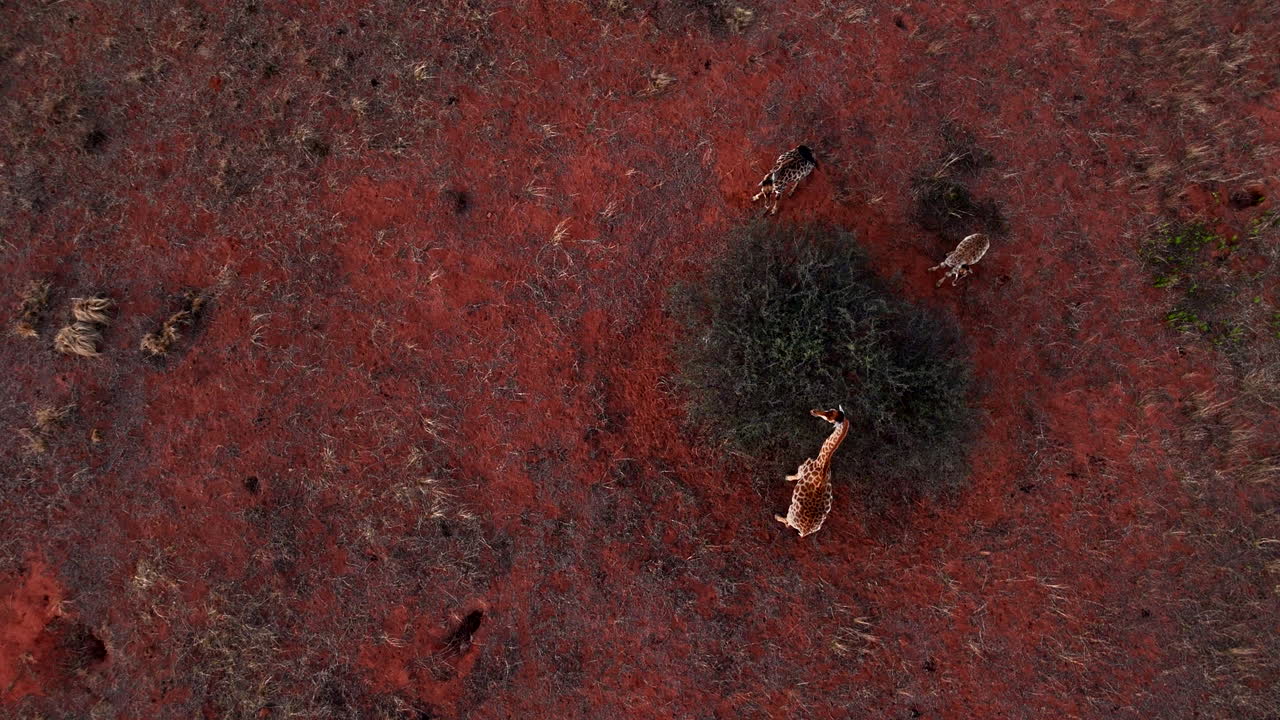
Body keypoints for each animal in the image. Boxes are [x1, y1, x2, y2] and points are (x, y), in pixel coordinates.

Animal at [775, 405, 850, 537]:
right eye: (830, 409)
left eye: (829, 416)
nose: (813, 411)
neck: (822, 462)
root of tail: (804, 532)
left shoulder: (801, 469)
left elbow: (794, 476)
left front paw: (786, 477)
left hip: (791, 510)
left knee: (787, 523)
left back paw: (777, 515)